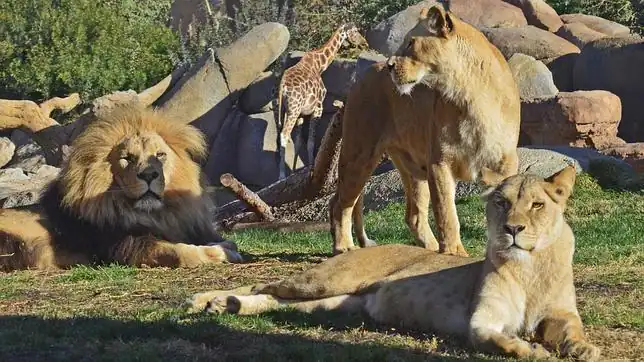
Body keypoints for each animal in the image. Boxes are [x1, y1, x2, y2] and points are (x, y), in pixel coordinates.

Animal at [0, 103, 242, 270]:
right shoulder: (124, 248)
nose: (148, 175)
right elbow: (179, 251)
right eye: (127, 158)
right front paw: (220, 252)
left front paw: (224, 244)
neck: (156, 214)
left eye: (160, 155)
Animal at [189, 165, 600, 360]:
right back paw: (209, 300)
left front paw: (582, 348)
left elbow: (572, 329)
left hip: (334, 304)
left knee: (273, 300)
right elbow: (497, 339)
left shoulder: (562, 312)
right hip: (326, 281)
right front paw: (529, 349)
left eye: (537, 204)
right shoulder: (481, 321)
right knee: (263, 284)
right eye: (501, 203)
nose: (513, 228)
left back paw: (229, 305)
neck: (529, 265)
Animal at [276, 23, 370, 180]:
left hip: (284, 110)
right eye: (355, 31)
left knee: (280, 135)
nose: (365, 43)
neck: (319, 65)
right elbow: (311, 141)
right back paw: (281, 176)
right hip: (293, 109)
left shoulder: (302, 114)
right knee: (284, 134)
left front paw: (295, 172)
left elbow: (299, 142)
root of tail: (283, 86)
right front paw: (311, 167)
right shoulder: (318, 107)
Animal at [330, 4, 520, 255]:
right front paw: (453, 252)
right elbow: (447, 214)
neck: (470, 94)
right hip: (359, 153)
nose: (390, 66)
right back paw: (343, 247)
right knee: (340, 202)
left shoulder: (504, 164)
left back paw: (429, 248)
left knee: (414, 215)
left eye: (411, 43)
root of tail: (364, 74)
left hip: (412, 167)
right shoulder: (439, 162)